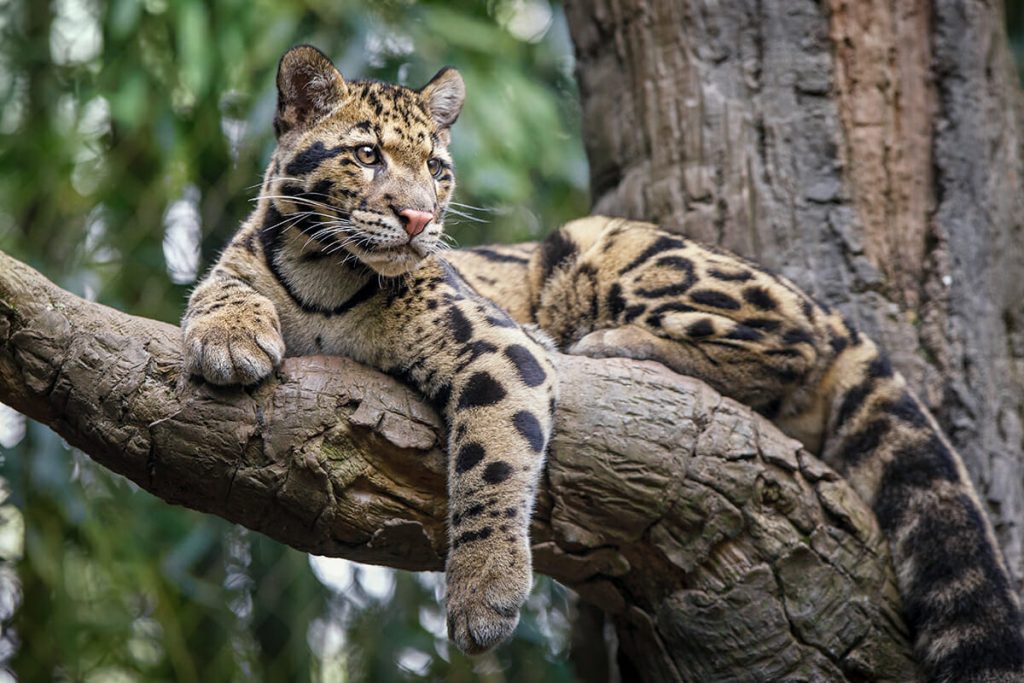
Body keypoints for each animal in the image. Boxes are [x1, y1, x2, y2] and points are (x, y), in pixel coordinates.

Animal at [183, 45, 1023, 682]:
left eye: (439, 170)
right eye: (366, 154)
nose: (420, 217)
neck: (323, 272)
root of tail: (832, 309)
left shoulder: (497, 343)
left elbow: (490, 461)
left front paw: (483, 594)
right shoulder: (248, 258)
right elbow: (216, 284)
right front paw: (228, 335)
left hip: (608, 246)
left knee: (791, 344)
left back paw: (612, 344)